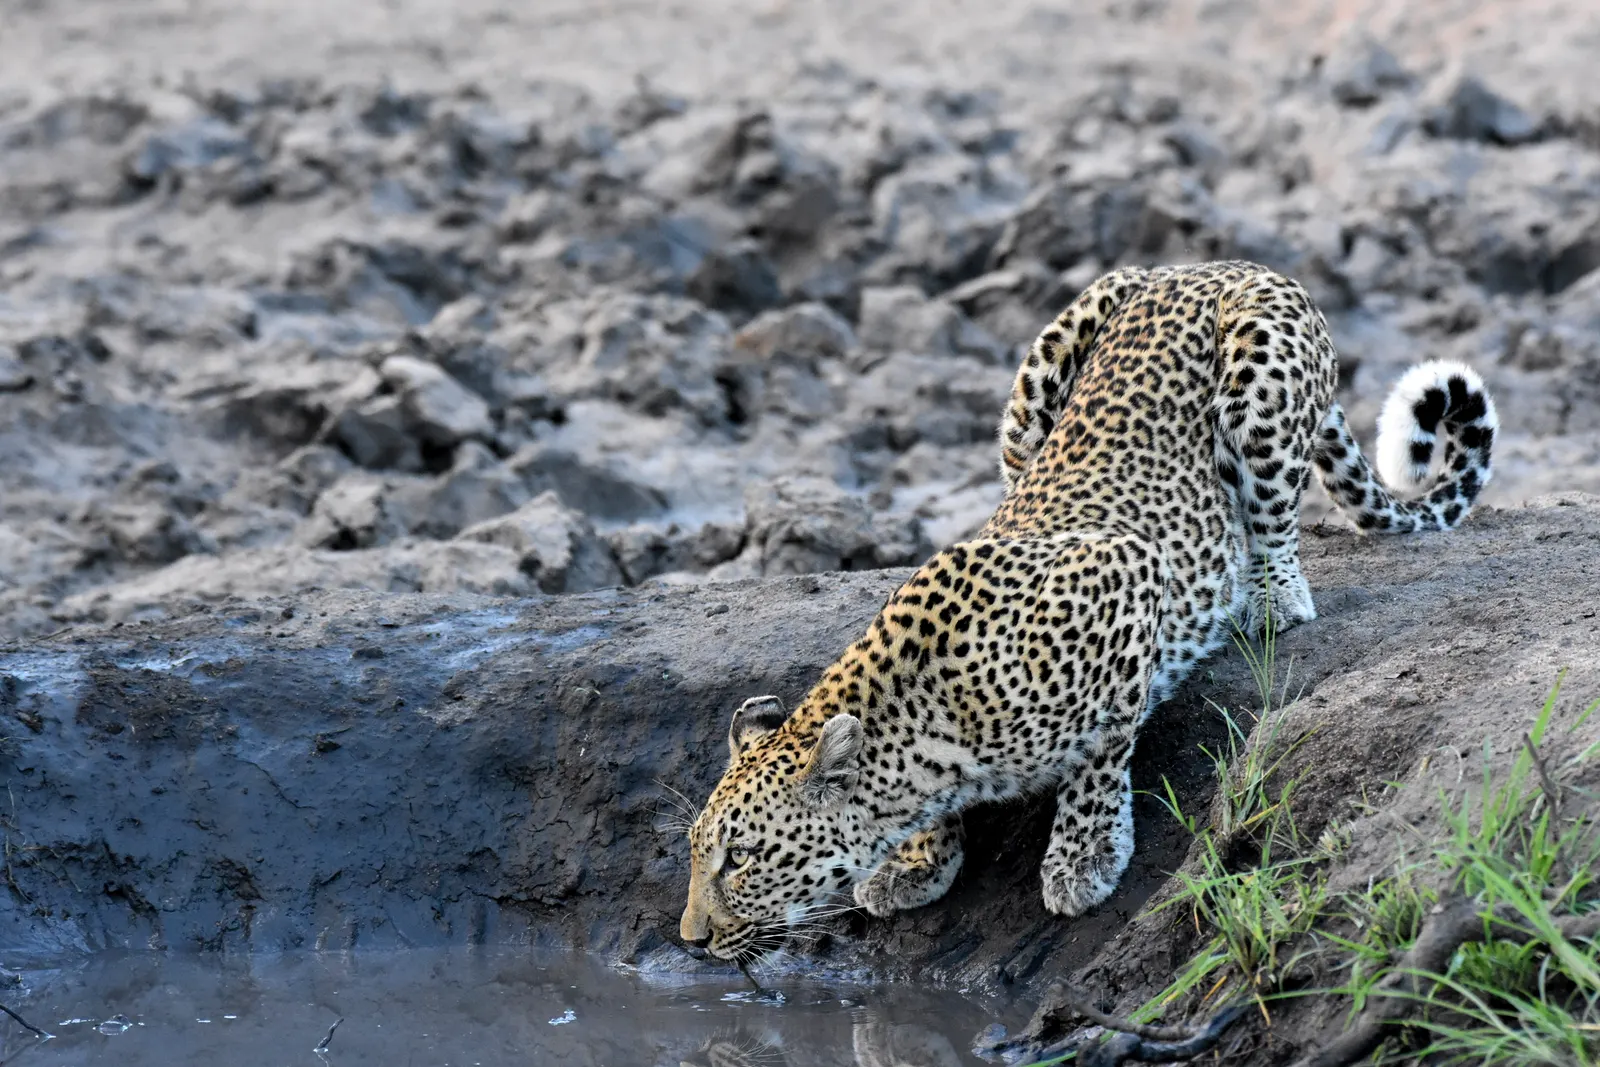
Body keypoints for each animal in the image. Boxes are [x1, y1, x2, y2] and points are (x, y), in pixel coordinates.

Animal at [680, 260, 1498, 965]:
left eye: (740, 858)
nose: (690, 937)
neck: (929, 728)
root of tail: (1207, 264)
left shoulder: (1127, 571)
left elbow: (1103, 743)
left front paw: (1085, 855)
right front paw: (918, 860)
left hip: (1259, 380)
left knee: (1271, 518)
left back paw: (1270, 597)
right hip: (1037, 380)